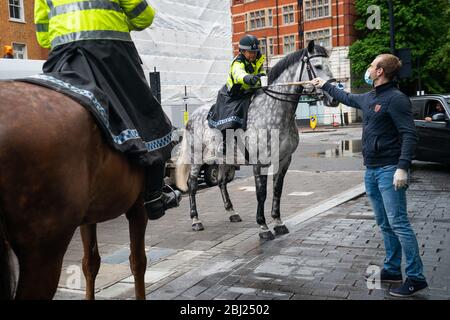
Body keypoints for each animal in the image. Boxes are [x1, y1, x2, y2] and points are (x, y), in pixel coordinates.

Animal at [176, 40, 338, 239]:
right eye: (318, 66)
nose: (333, 97)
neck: (275, 111)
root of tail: (192, 116)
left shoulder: (284, 160)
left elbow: (277, 190)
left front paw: (278, 222)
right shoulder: (259, 163)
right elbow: (261, 193)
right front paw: (263, 226)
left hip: (224, 158)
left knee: (221, 182)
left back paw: (232, 212)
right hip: (196, 157)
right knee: (192, 184)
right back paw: (196, 220)